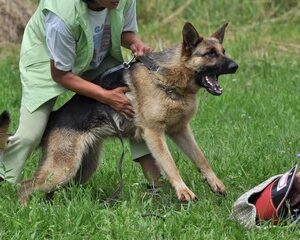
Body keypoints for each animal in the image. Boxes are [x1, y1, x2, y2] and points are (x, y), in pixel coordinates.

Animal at [0, 22, 239, 203]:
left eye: (223, 52)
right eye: (210, 54)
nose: (236, 66)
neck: (166, 78)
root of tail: (54, 116)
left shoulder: (180, 131)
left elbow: (201, 158)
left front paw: (215, 183)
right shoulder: (154, 134)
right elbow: (170, 164)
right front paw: (183, 192)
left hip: (82, 168)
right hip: (62, 169)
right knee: (25, 186)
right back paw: (26, 209)